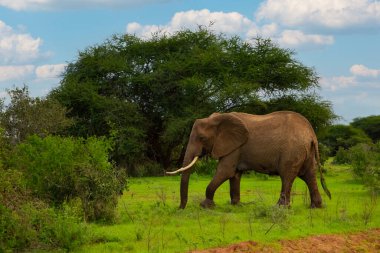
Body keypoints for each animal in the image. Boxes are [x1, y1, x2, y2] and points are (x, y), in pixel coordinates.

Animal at [166, 111, 330, 209]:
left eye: (202, 138)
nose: (180, 208)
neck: (218, 118)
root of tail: (311, 134)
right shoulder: (236, 148)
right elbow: (234, 175)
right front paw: (236, 205)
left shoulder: (234, 147)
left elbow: (225, 172)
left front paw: (205, 206)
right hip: (306, 151)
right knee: (309, 175)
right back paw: (316, 207)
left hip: (292, 151)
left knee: (287, 176)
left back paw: (279, 208)